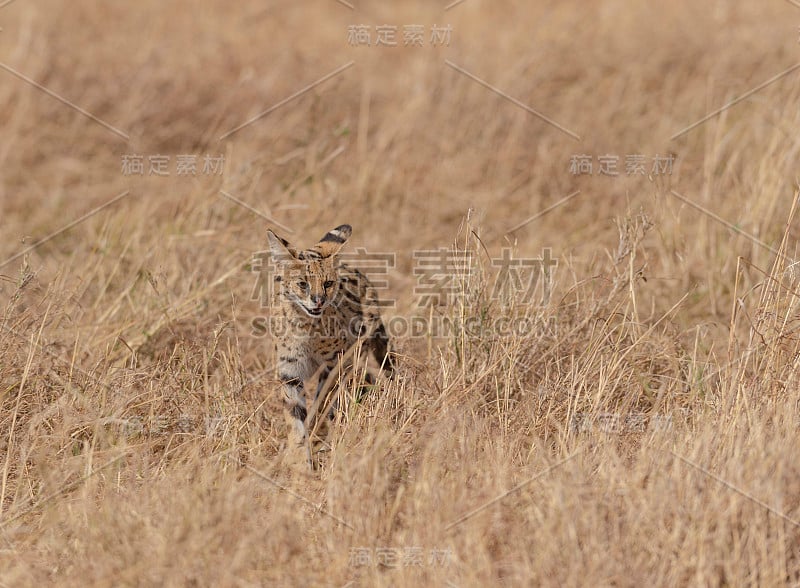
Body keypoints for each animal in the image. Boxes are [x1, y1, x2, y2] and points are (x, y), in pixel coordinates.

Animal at [268, 223, 396, 466]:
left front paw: (317, 435)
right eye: (303, 284)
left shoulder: (336, 362)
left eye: (327, 283)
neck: (306, 325)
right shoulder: (290, 370)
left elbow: (323, 402)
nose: (318, 301)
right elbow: (294, 417)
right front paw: (299, 459)